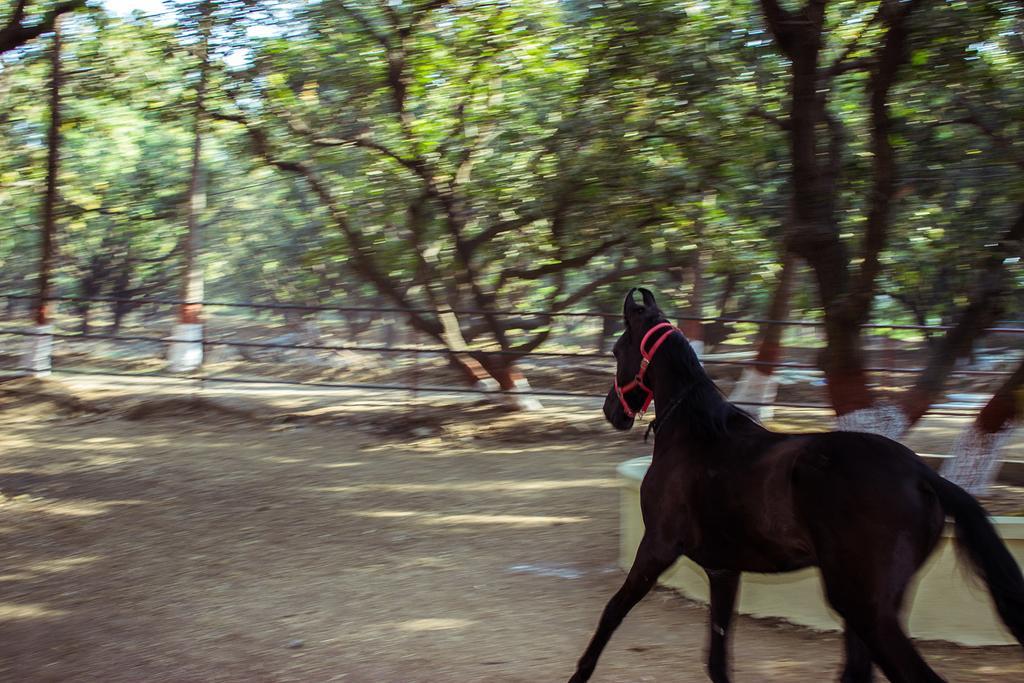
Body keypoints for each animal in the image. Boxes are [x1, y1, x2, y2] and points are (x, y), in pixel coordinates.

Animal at [569, 290, 1024, 683]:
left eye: (617, 351)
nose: (611, 411)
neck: (694, 433)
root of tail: (923, 474)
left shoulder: (657, 547)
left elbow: (613, 611)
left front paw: (579, 673)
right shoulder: (723, 569)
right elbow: (717, 657)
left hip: (863, 607)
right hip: (866, 607)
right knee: (856, 672)